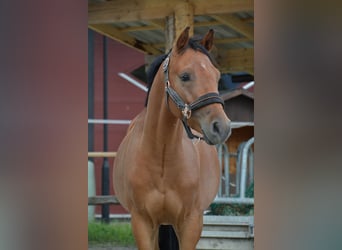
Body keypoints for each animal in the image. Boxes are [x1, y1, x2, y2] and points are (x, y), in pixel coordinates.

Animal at [113, 26, 231, 248]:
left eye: (217, 76)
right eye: (185, 76)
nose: (222, 127)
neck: (162, 157)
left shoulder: (191, 223)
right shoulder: (142, 223)